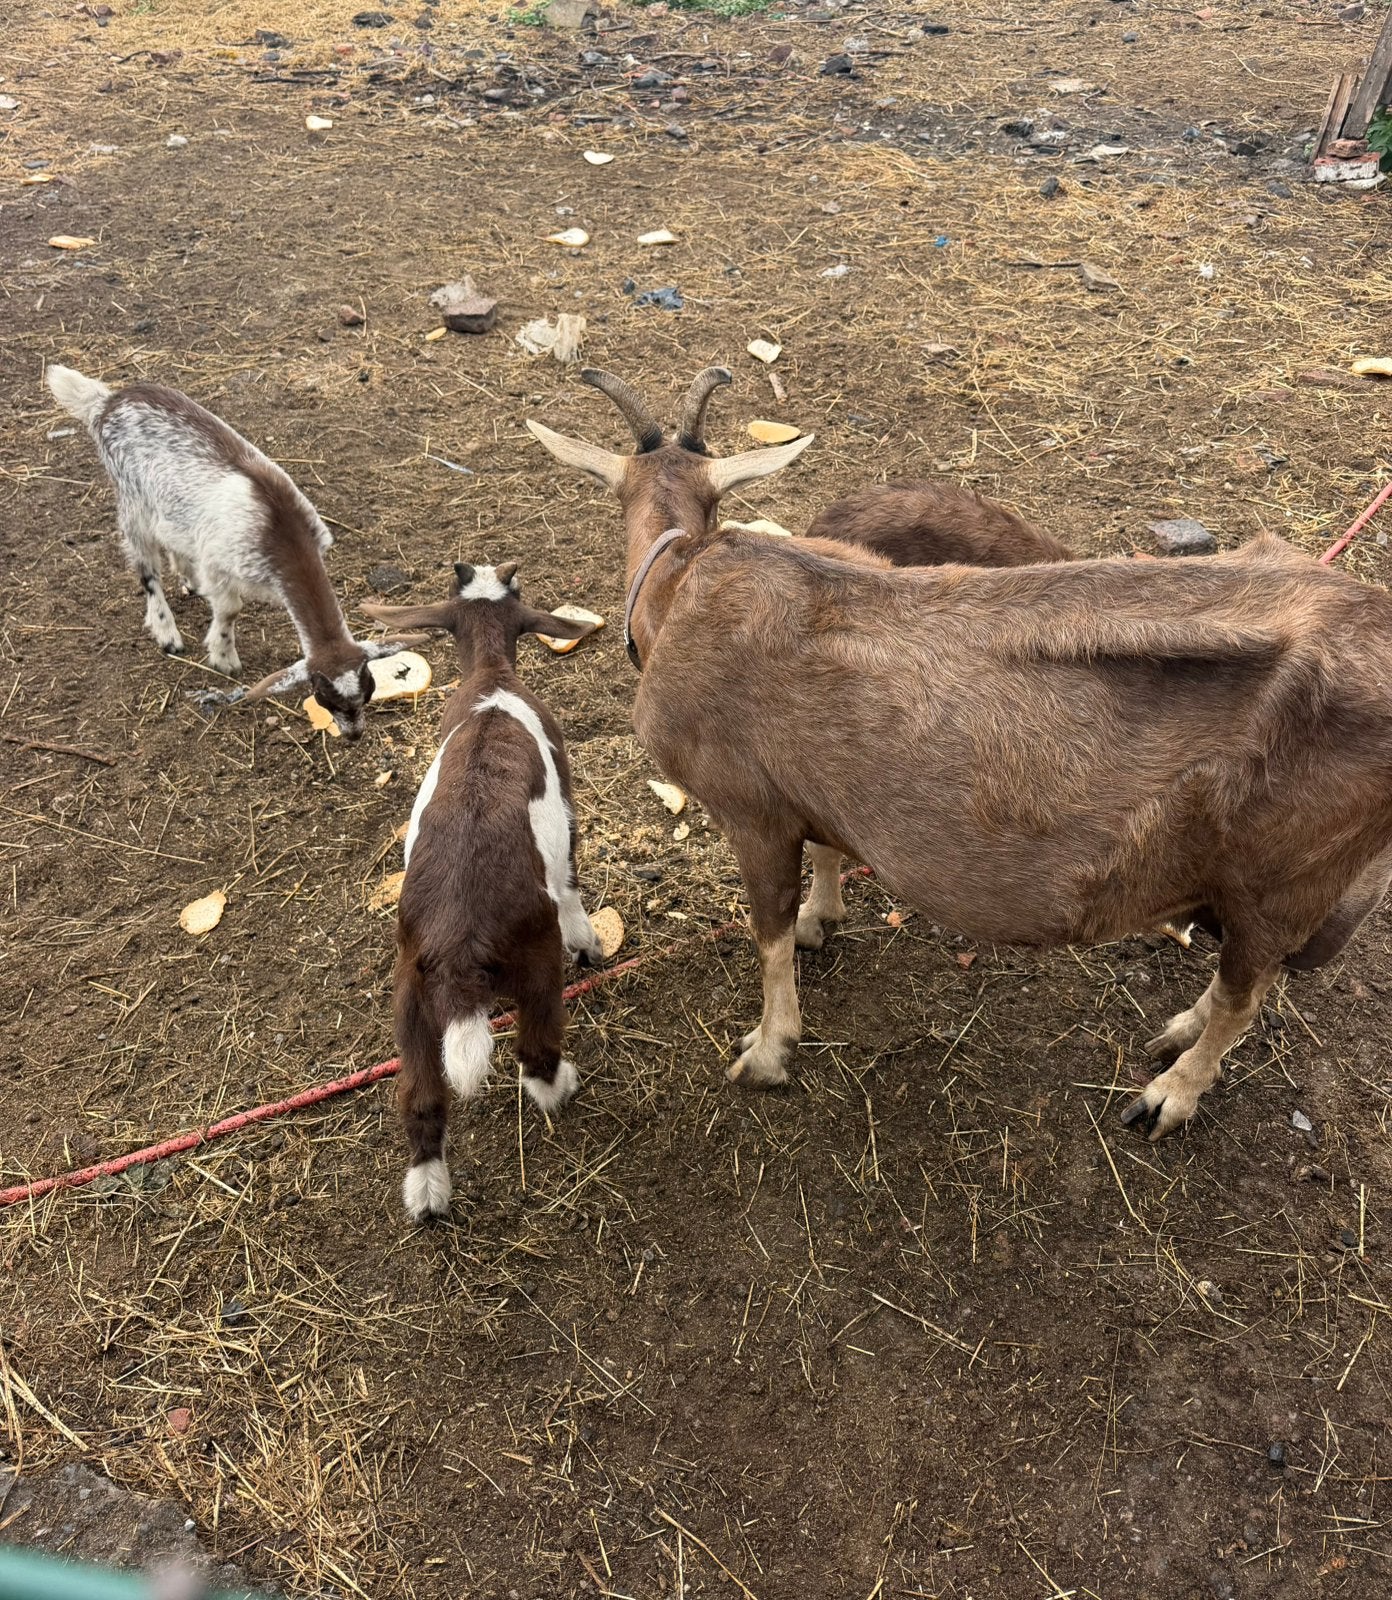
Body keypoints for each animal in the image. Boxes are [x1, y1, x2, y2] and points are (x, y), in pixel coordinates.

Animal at [46, 364, 415, 738]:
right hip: (131, 497)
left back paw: (187, 578)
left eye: (368, 689)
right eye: (324, 695)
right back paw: (167, 632)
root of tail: (105, 401)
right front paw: (223, 657)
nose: (354, 735)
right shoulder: (220, 564)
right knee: (146, 566)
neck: (280, 530)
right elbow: (230, 609)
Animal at [361, 563, 602, 1221]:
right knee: (536, 1054)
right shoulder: (566, 799)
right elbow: (571, 872)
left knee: (420, 1099)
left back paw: (427, 1194)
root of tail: (460, 947)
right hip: (536, 964)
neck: (491, 679)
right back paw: (563, 1085)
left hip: (410, 996)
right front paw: (588, 939)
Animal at [528, 365, 1392, 1141]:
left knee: (1248, 990)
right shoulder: (810, 791)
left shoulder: (749, 809)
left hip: (1281, 878)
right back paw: (1178, 1029)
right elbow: (827, 855)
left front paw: (768, 1050)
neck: (681, 583)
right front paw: (821, 918)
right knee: (1243, 980)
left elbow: (766, 932)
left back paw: (1171, 1093)